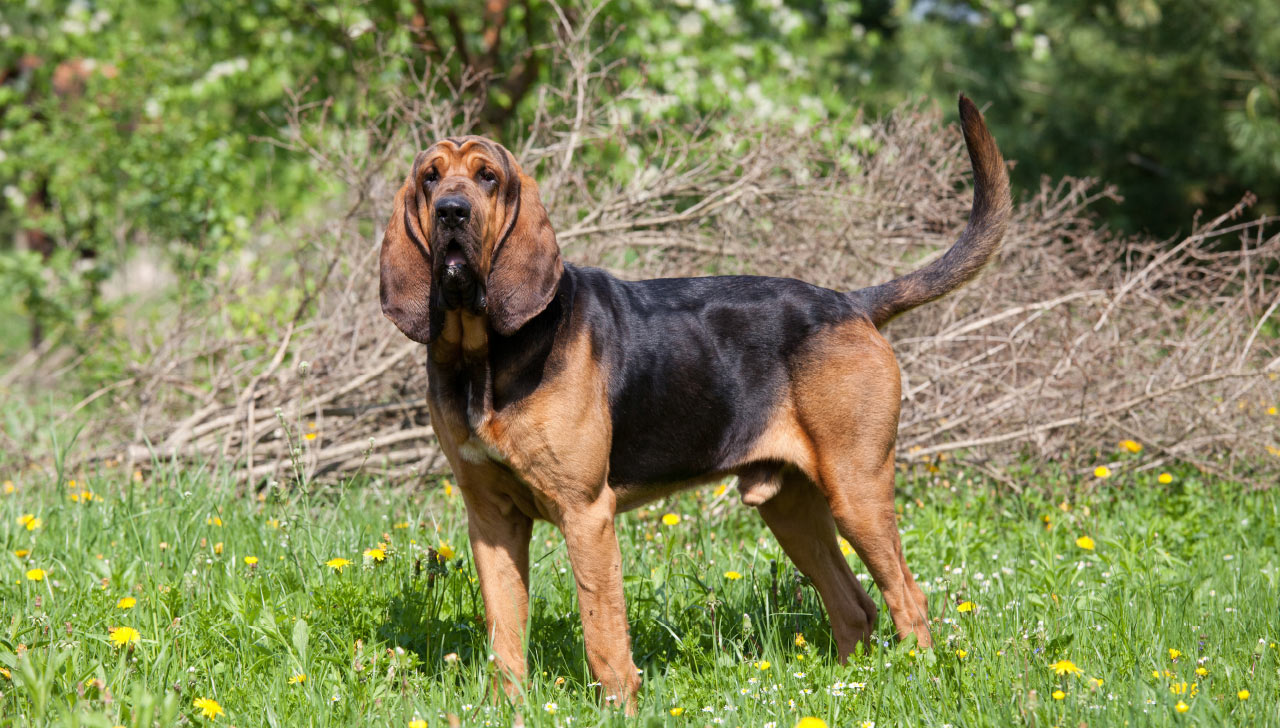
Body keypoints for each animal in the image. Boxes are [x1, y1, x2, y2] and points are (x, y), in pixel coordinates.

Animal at [378, 93, 1008, 706]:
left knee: (909, 599)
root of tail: (853, 302)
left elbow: (604, 639)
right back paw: (847, 688)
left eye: (487, 177)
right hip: (792, 507)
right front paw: (511, 710)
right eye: (430, 178)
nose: (451, 211)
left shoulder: (587, 514)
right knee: (856, 606)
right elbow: (505, 642)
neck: (482, 354)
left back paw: (918, 683)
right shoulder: (491, 522)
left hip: (858, 489)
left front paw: (621, 712)